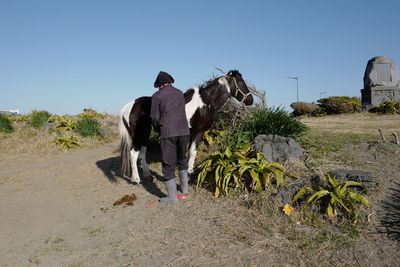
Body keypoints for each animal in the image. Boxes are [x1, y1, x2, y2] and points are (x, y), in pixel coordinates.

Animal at [118, 70, 253, 184]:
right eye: (242, 82)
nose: (250, 100)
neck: (205, 103)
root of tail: (129, 106)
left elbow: (188, 152)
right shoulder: (197, 132)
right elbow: (193, 151)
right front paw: (190, 172)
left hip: (145, 134)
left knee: (142, 154)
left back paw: (147, 176)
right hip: (139, 135)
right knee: (133, 154)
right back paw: (136, 179)